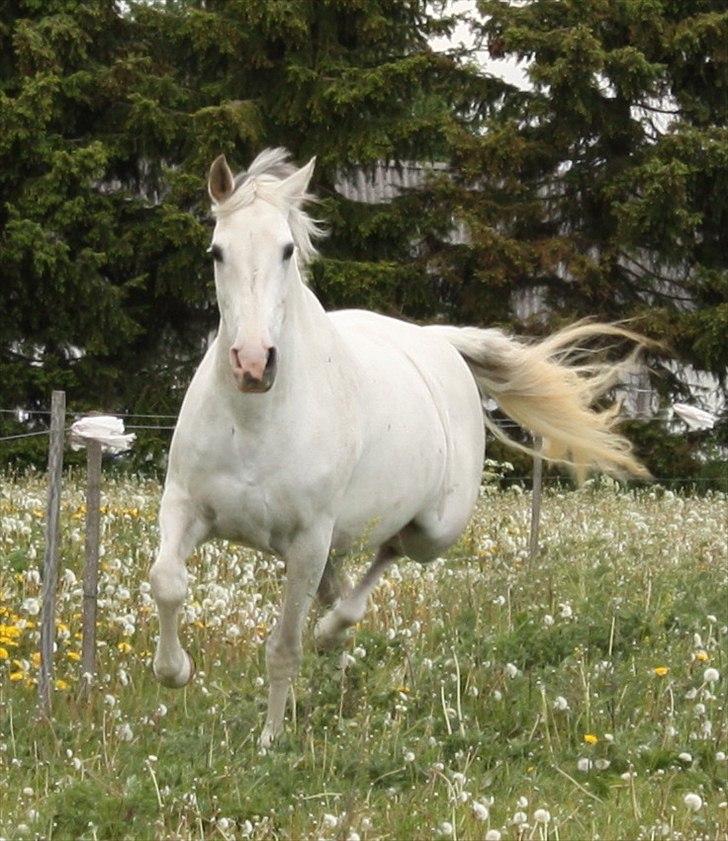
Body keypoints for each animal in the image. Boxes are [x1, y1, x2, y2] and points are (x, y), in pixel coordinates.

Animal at [149, 148, 648, 744]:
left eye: (287, 250)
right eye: (217, 251)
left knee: (389, 554)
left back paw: (334, 632)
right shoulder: (186, 507)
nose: (252, 364)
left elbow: (284, 646)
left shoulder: (307, 541)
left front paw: (270, 738)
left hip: (433, 531)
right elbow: (167, 582)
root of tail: (439, 340)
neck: (253, 422)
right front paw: (176, 670)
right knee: (348, 579)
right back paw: (336, 646)